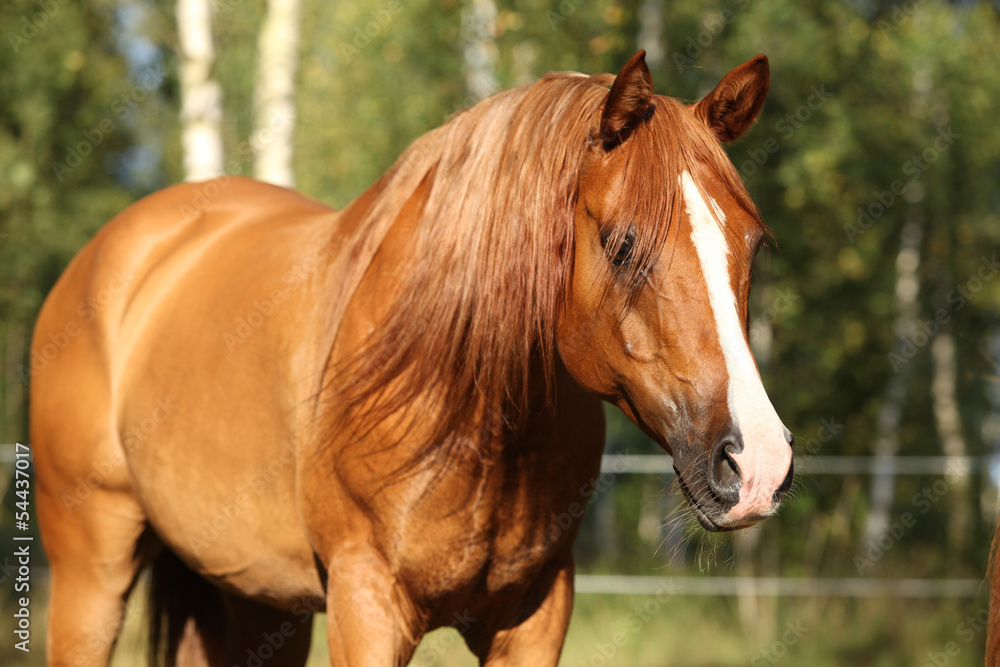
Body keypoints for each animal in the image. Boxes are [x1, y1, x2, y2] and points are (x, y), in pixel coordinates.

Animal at [31, 51, 792, 666]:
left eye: (753, 245)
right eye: (622, 243)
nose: (758, 463)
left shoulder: (536, 617)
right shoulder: (368, 604)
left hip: (255, 598)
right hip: (92, 574)